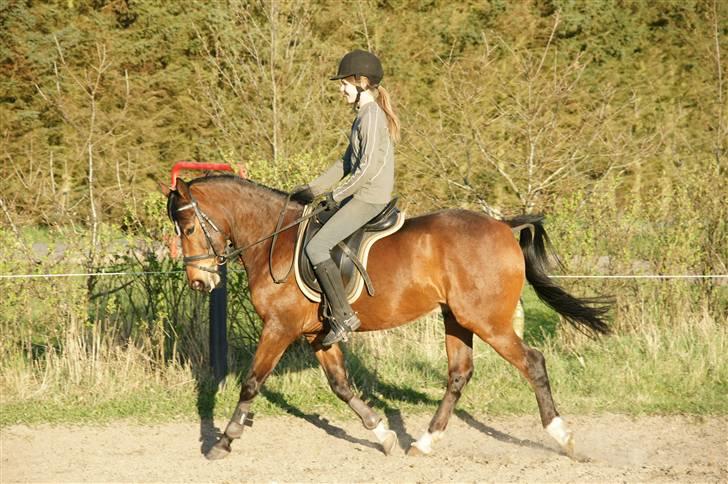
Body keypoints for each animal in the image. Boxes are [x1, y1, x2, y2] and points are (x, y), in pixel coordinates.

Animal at [160, 174, 610, 460]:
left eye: (187, 227)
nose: (199, 282)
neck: (276, 240)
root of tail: (503, 224)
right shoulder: (316, 334)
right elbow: (342, 386)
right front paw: (382, 434)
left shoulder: (280, 327)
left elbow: (252, 382)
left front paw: (224, 441)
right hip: (456, 318)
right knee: (459, 374)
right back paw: (424, 443)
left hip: (488, 321)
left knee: (532, 362)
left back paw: (563, 437)